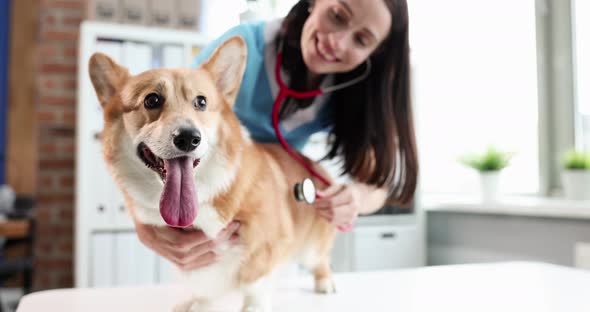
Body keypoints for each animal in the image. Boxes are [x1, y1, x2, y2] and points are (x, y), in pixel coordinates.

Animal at [87, 35, 338, 310]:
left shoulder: (267, 245)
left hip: (312, 246)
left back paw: (325, 282)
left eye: (201, 102)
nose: (188, 138)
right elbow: (204, 291)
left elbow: (254, 282)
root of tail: (316, 166)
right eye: (151, 100)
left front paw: (253, 306)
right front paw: (197, 304)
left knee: (321, 259)